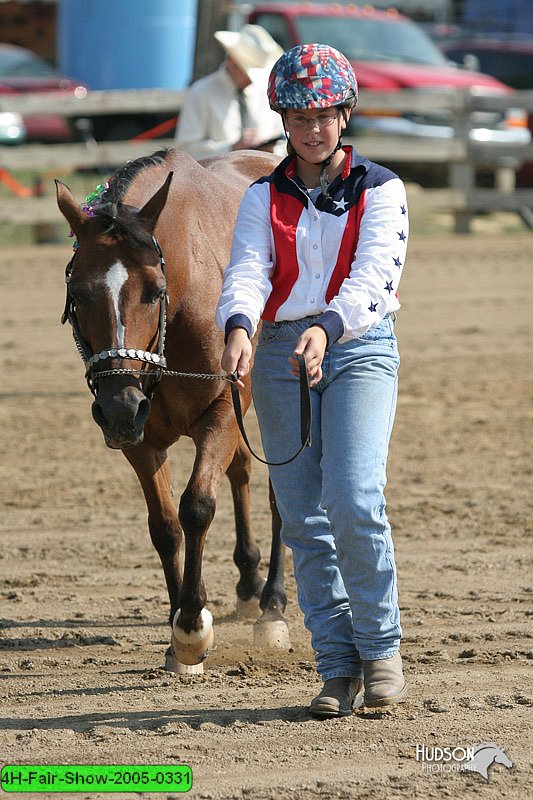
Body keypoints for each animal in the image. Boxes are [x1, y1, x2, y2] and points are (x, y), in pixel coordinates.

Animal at [55, 147, 288, 672]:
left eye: (154, 291)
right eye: (78, 295)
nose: (119, 406)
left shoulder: (223, 408)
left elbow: (197, 506)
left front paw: (191, 628)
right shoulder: (141, 436)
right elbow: (164, 526)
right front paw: (180, 620)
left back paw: (273, 603)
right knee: (241, 471)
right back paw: (249, 581)